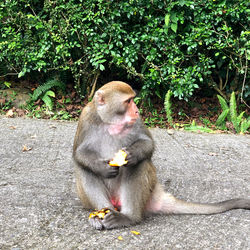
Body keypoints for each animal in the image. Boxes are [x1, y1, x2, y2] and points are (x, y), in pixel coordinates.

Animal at [72, 81, 248, 229]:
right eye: (128, 101)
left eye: (132, 100)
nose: (136, 110)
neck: (111, 122)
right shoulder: (86, 118)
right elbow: (79, 153)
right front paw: (102, 167)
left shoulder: (136, 121)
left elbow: (147, 143)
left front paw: (132, 155)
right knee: (84, 169)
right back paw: (101, 213)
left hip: (148, 190)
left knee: (139, 165)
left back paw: (128, 217)